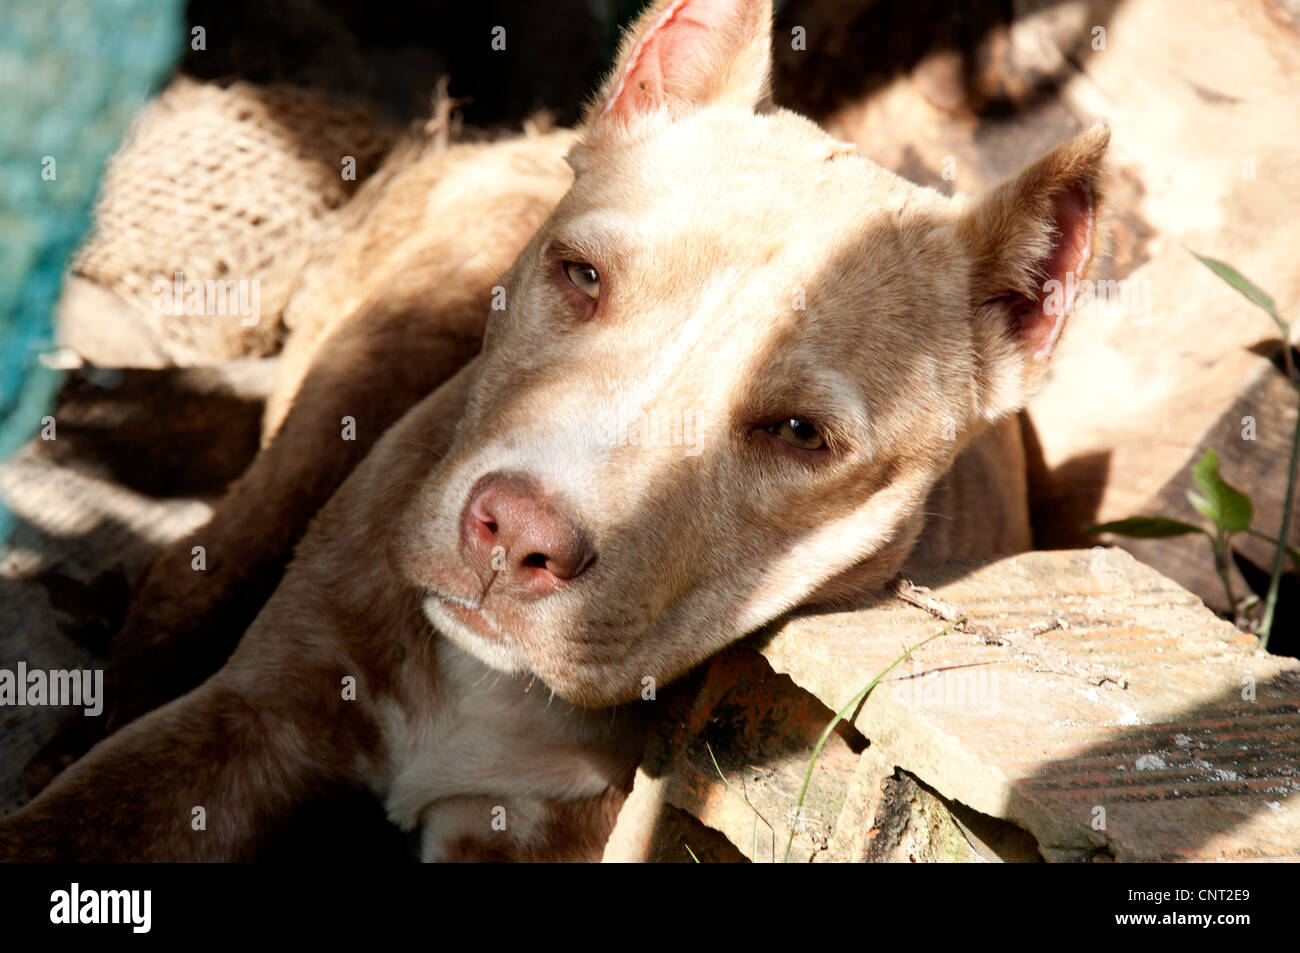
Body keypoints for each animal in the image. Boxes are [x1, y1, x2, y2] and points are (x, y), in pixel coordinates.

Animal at [2, 0, 1107, 863]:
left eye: (800, 433)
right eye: (581, 276)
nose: (514, 534)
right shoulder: (247, 723)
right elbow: (65, 823)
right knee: (200, 559)